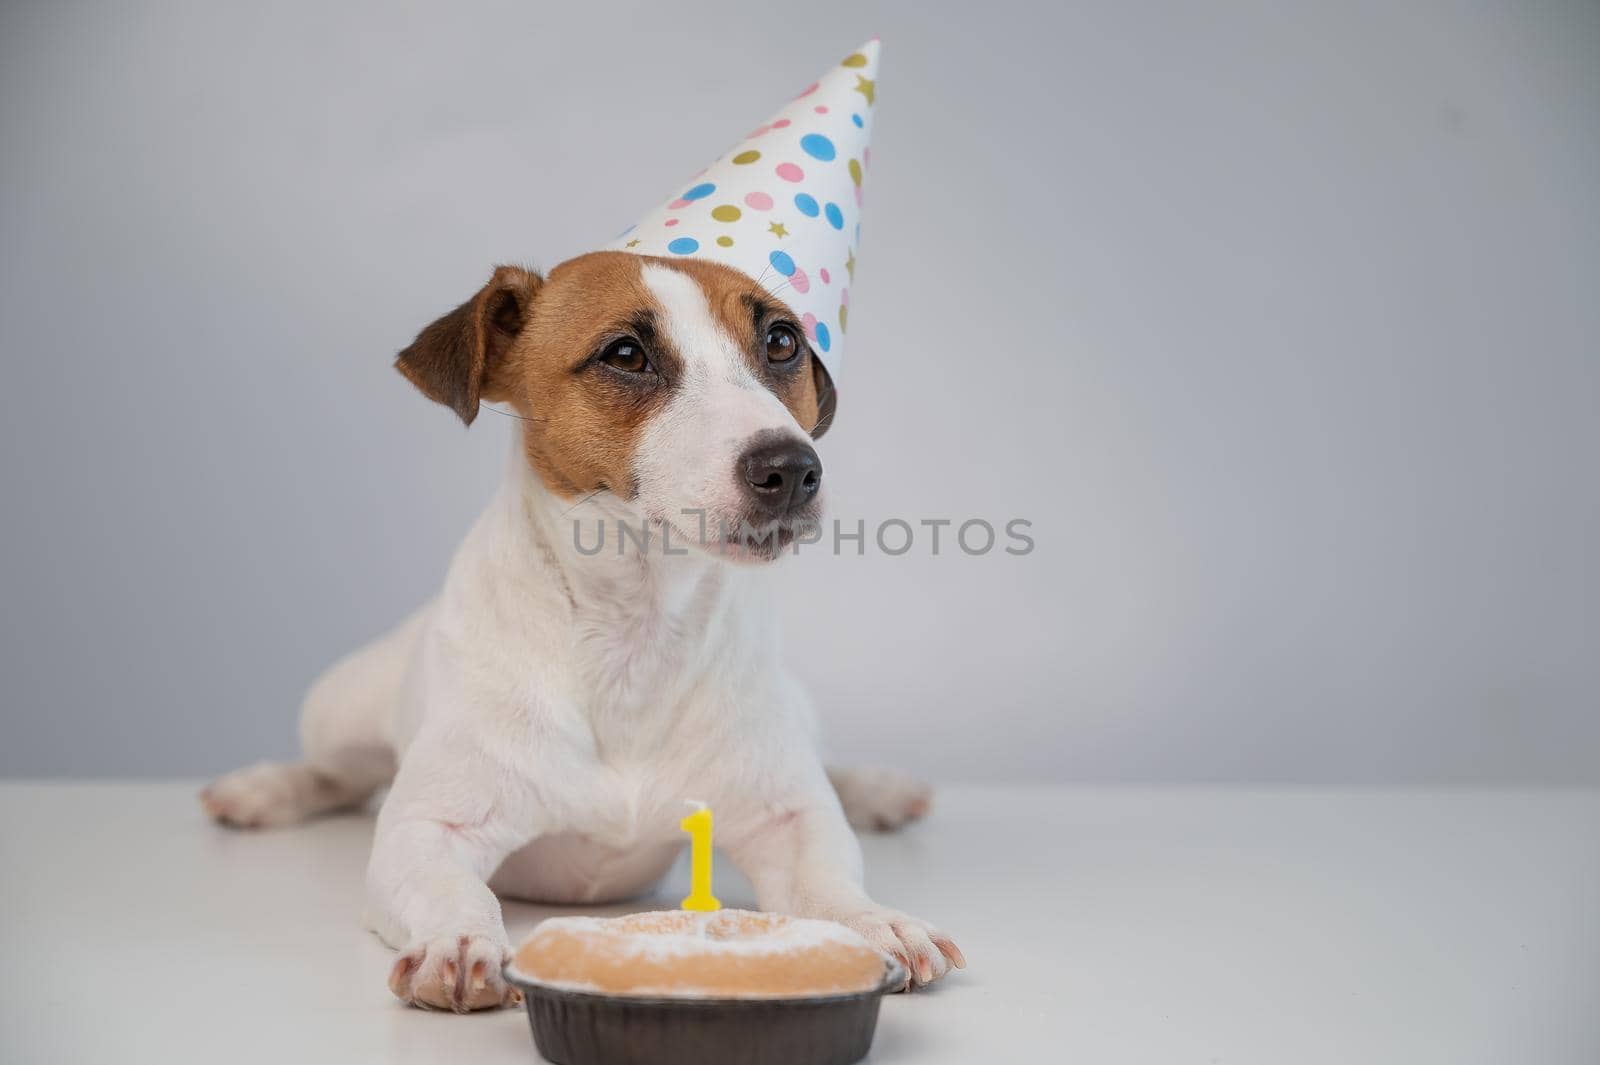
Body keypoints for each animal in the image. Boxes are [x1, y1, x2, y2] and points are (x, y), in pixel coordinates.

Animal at [206, 252, 966, 1010]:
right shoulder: (426, 831)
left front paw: (874, 920)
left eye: (782, 342)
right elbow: (450, 886)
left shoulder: (790, 819)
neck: (635, 628)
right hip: (337, 707)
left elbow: (827, 874)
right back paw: (259, 790)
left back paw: (879, 790)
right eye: (625, 354)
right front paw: (460, 939)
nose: (791, 467)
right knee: (336, 772)